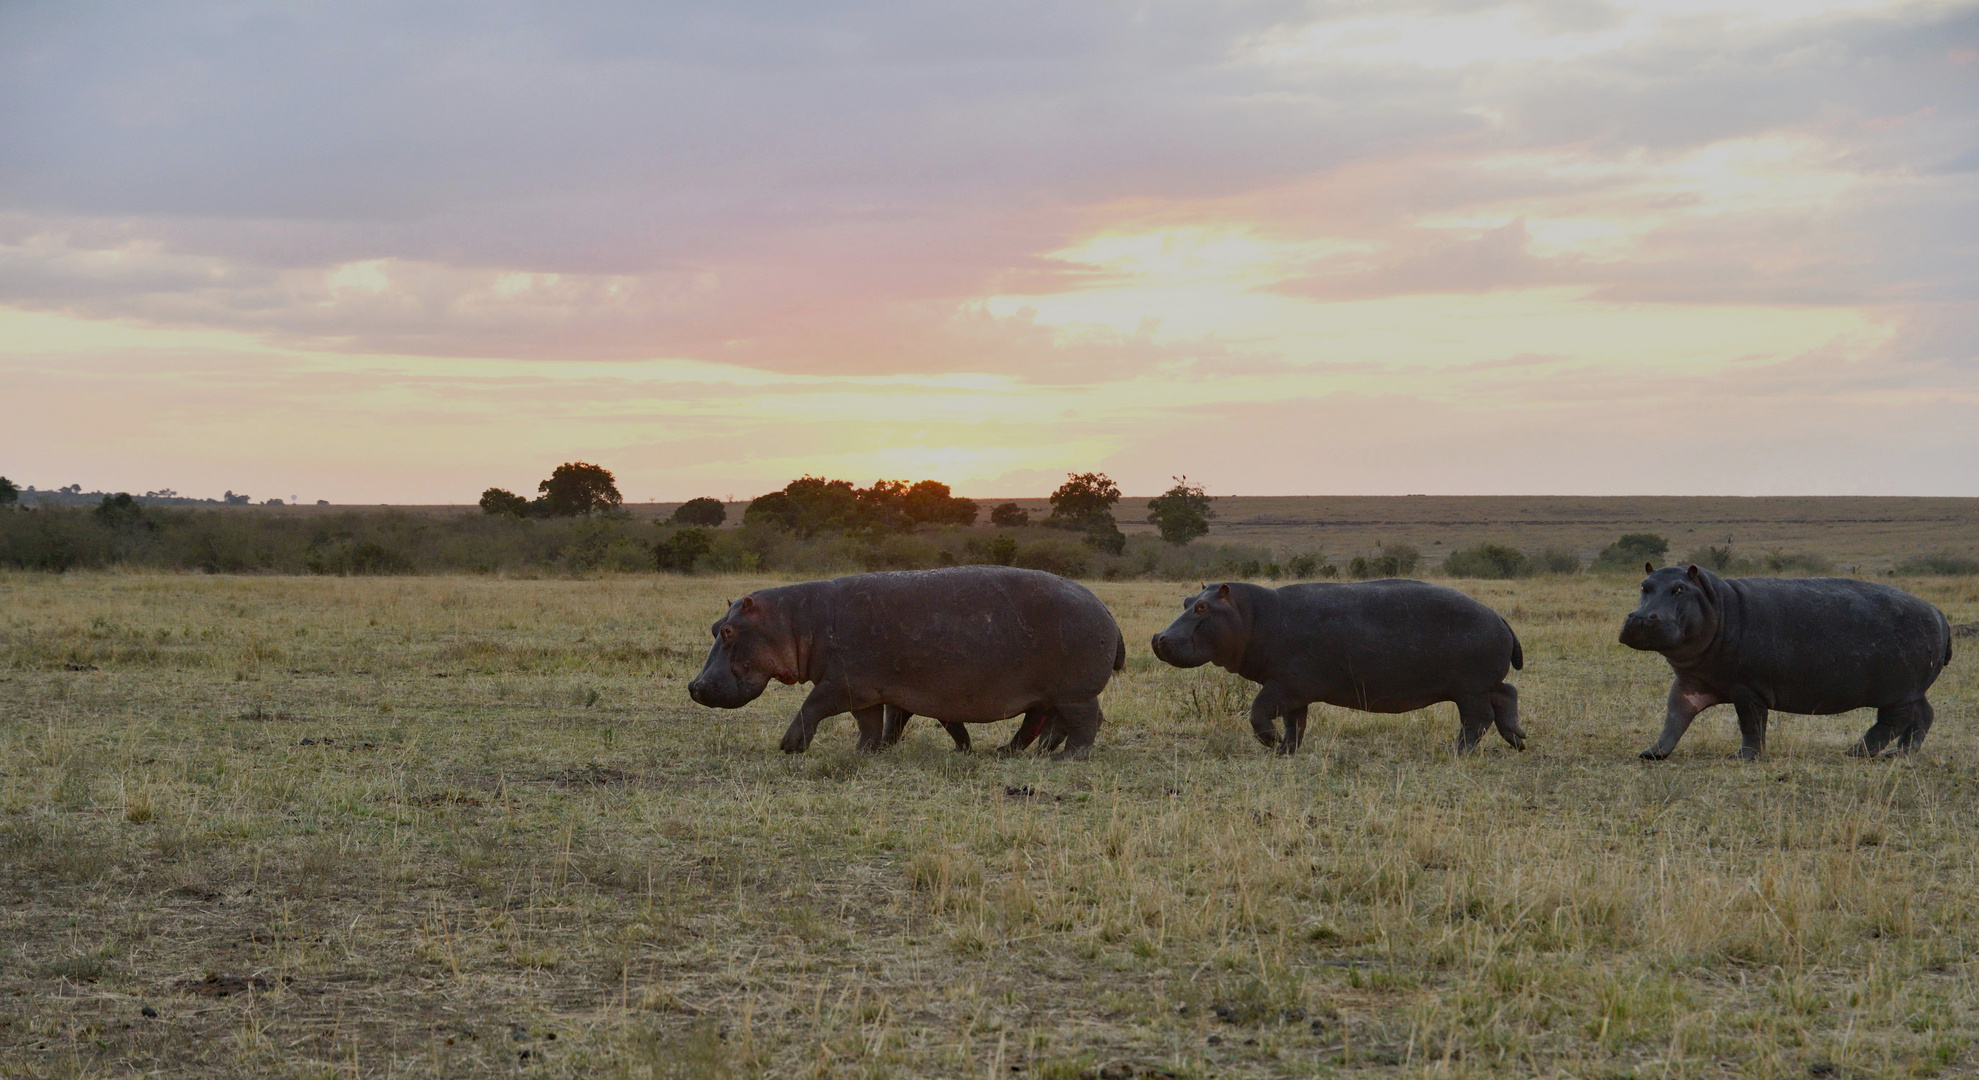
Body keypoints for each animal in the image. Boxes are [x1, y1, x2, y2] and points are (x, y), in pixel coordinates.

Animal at [684, 561, 1124, 755]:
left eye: (729, 631)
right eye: (713, 626)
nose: (694, 686)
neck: (795, 621)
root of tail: (1105, 609)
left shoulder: (842, 683)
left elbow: (811, 707)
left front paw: (788, 747)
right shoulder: (869, 689)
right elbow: (873, 723)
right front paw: (869, 751)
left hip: (1074, 691)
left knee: (1086, 721)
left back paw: (1068, 758)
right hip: (1050, 694)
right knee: (1047, 724)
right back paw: (1016, 752)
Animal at [1155, 581, 1519, 747]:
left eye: (1202, 608)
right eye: (1187, 601)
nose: (1158, 637)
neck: (1254, 617)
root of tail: (1500, 617)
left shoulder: (1282, 686)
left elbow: (1258, 713)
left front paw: (1272, 743)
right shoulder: (1294, 693)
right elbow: (1296, 724)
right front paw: (1286, 749)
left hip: (1470, 690)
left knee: (1478, 719)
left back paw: (1458, 751)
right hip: (1480, 685)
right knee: (1507, 693)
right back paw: (1519, 739)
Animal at [1614, 561, 1955, 755]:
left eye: (1679, 589)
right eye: (1644, 586)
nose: (1641, 618)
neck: (1717, 604)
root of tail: (1939, 613)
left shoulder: (1747, 688)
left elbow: (1751, 724)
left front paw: (1745, 757)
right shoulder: (1690, 682)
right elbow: (1674, 716)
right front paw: (1651, 753)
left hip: (1897, 691)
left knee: (1892, 722)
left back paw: (1857, 752)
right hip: (1912, 690)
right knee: (1924, 715)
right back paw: (1900, 755)